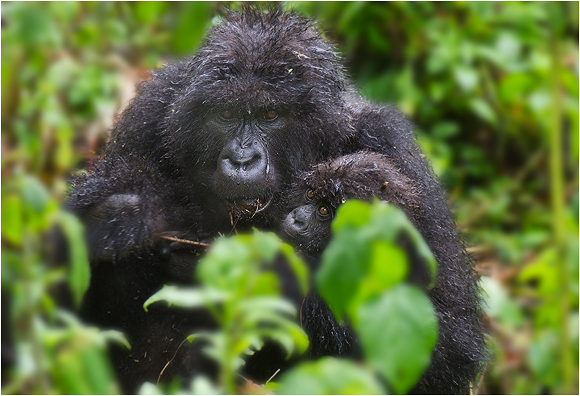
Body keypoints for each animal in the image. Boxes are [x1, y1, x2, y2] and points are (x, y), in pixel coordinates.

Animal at [67, 6, 484, 396]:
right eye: (226, 113)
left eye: (270, 114)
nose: (242, 160)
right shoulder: (149, 114)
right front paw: (125, 217)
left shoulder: (392, 147)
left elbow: (446, 344)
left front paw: (271, 280)